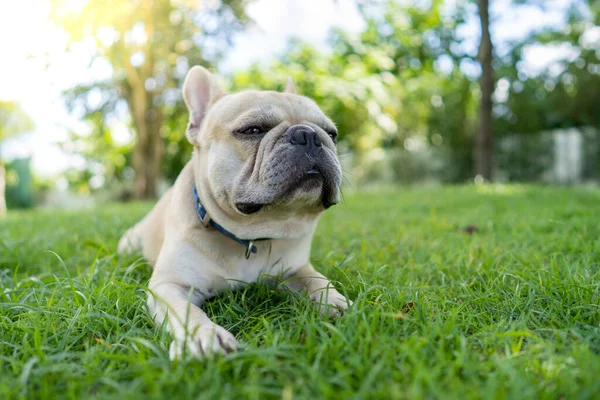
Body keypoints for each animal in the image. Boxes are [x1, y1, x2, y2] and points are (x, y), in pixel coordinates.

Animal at [118, 65, 352, 360]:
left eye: (331, 133)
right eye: (252, 130)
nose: (308, 135)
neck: (251, 234)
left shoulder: (295, 268)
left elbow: (316, 279)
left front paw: (334, 300)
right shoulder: (170, 285)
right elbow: (187, 312)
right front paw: (204, 336)